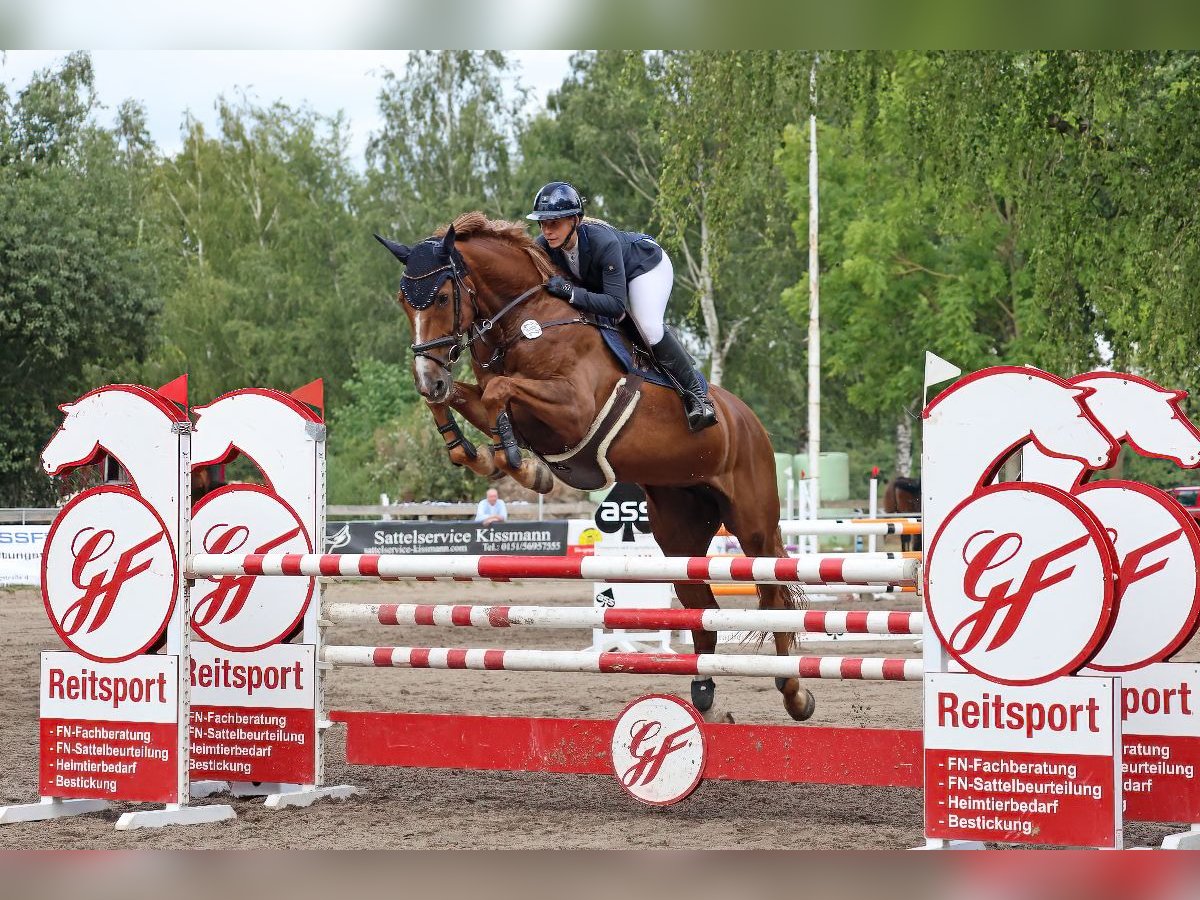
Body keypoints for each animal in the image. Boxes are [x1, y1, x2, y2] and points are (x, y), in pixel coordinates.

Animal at [372, 214, 816, 724]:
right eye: (404, 302)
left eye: (443, 297)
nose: (430, 377)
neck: (525, 322)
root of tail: (748, 420)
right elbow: (469, 400)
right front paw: (481, 452)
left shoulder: (573, 407)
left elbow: (500, 391)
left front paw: (518, 463)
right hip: (679, 532)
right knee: (701, 609)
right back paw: (703, 694)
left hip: (753, 522)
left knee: (772, 597)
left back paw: (794, 693)